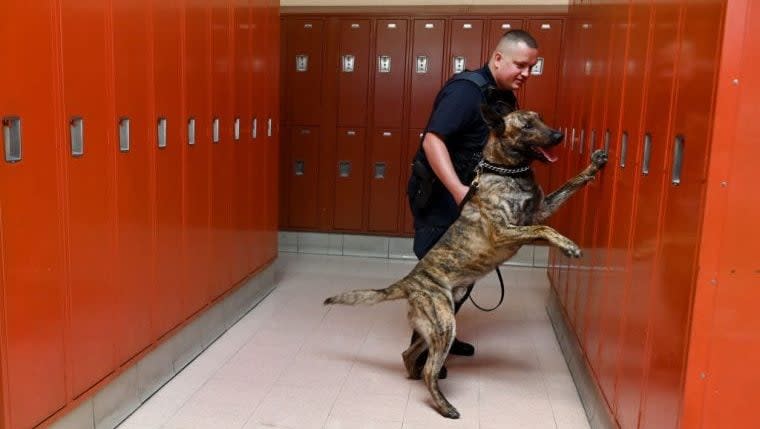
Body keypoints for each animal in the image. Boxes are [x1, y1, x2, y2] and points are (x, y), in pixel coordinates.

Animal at [324, 102, 608, 416]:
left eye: (541, 119)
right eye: (527, 126)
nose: (559, 135)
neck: (509, 172)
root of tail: (410, 281)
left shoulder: (537, 214)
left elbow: (568, 188)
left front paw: (593, 165)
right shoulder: (505, 231)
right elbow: (546, 229)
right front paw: (569, 246)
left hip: (439, 322)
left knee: (408, 353)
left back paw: (415, 377)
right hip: (445, 322)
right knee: (429, 368)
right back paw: (444, 405)